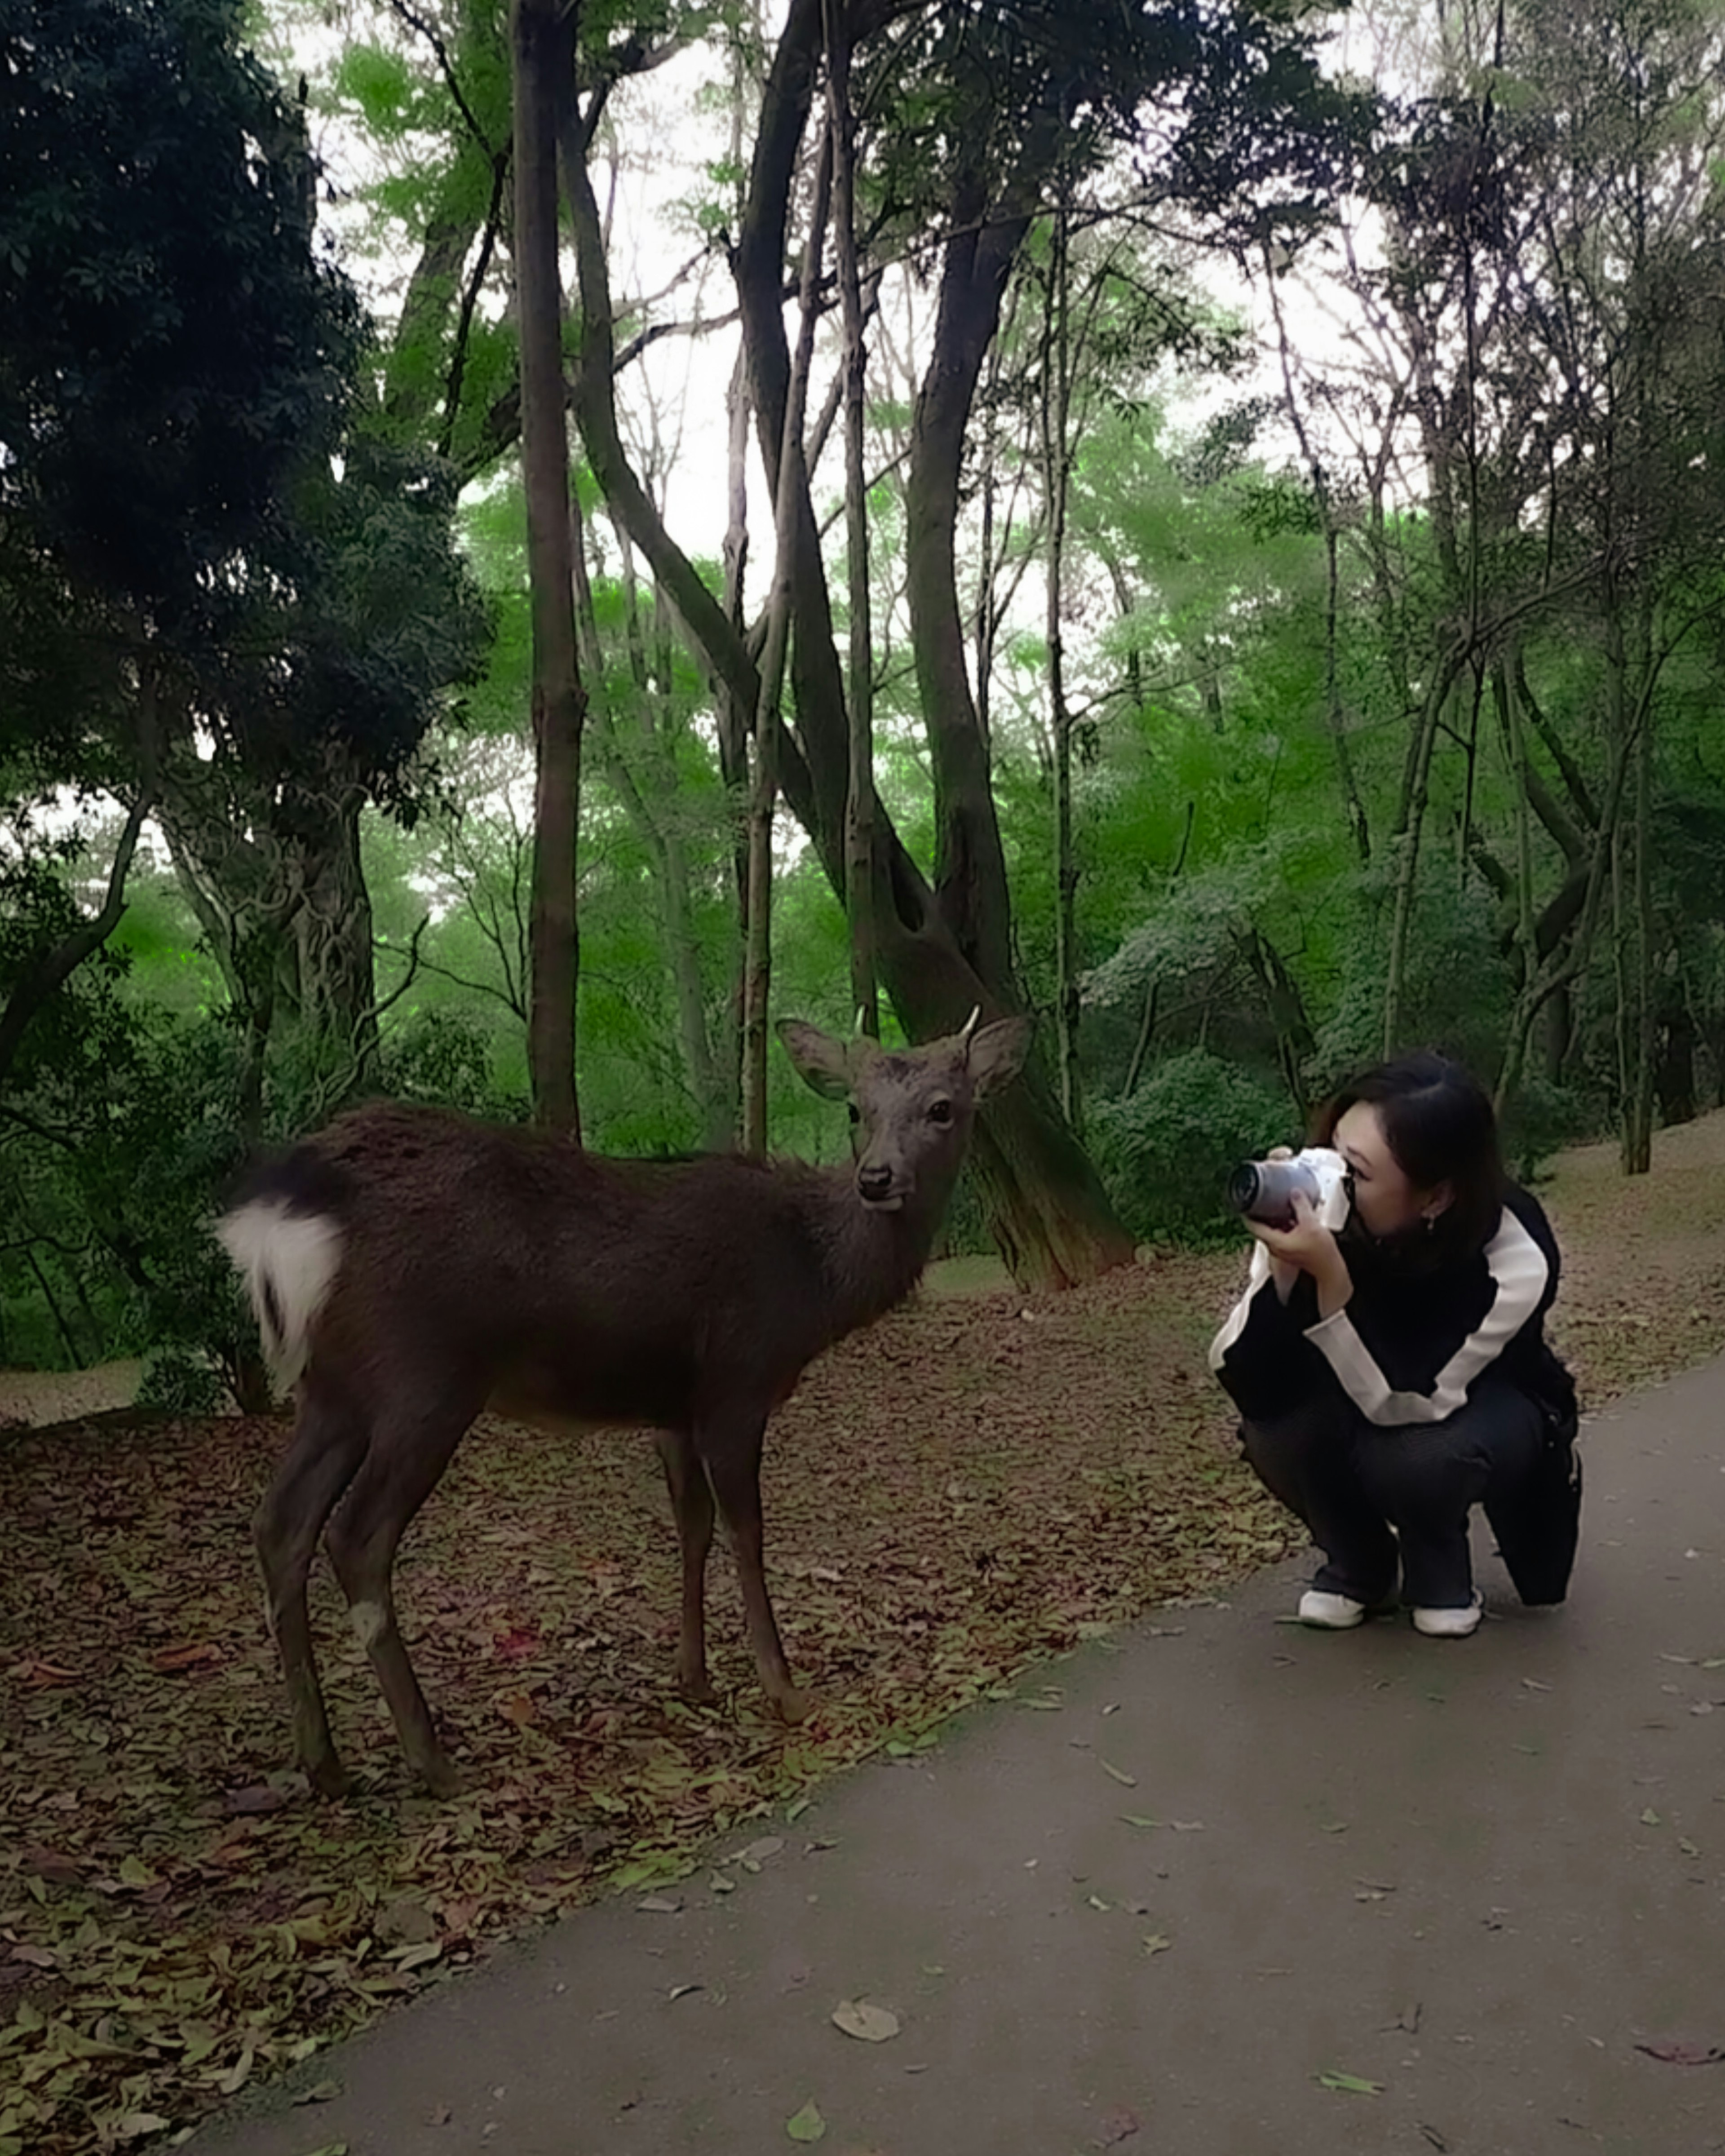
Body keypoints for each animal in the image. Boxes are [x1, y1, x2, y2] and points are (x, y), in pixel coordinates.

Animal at [213, 1009, 1026, 1802]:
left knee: (280, 1523)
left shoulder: (674, 1406)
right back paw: (432, 1760)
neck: (813, 1282)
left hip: (333, 1388)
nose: (877, 1177)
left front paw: (695, 1677)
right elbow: (747, 1531)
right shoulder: (736, 1382)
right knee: (356, 1536)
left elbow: (692, 1527)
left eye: (943, 1107)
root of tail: (282, 1213)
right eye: (857, 1107)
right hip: (425, 1375)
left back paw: (326, 1764)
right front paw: (786, 1688)